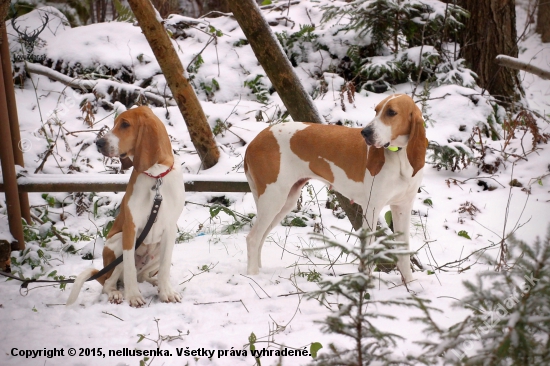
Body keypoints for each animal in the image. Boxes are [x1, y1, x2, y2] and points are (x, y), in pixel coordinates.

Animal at [67, 106, 187, 306]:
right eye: (115, 123)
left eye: (125, 125)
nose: (99, 143)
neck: (156, 176)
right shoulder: (130, 228)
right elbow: (130, 267)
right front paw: (134, 296)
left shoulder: (171, 229)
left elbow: (164, 268)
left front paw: (166, 292)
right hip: (116, 245)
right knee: (110, 283)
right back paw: (116, 293)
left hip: (157, 249)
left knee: (143, 276)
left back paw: (154, 282)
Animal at [244, 93, 430, 280]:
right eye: (376, 110)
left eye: (391, 112)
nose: (365, 133)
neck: (399, 156)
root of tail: (254, 141)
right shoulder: (371, 209)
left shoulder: (402, 209)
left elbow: (404, 253)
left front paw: (409, 284)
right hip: (273, 199)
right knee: (253, 238)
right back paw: (253, 276)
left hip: (285, 202)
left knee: (261, 237)